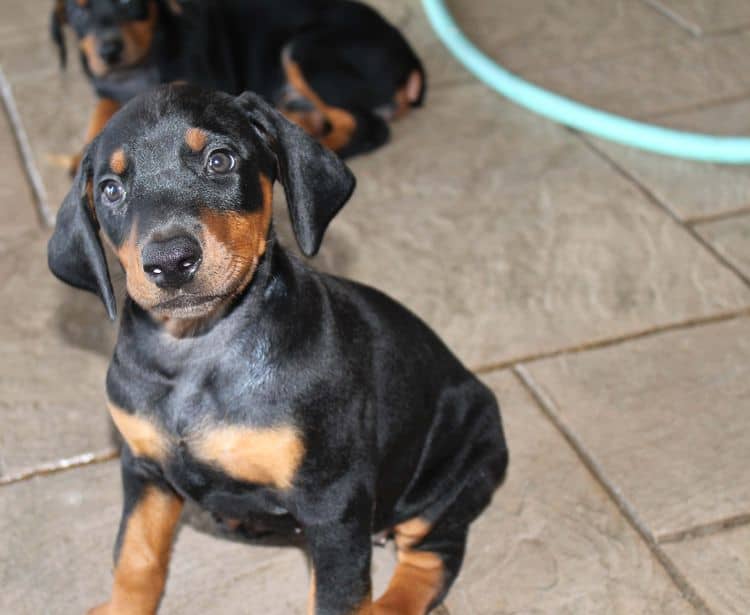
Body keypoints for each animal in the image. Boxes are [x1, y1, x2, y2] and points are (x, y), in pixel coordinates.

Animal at [47, 85, 506, 615]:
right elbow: (135, 556)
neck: (197, 349)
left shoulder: (332, 500)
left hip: (451, 475)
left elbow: (337, 596)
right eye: (110, 190)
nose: (170, 262)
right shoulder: (144, 468)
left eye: (220, 160)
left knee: (433, 558)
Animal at [52, 0, 426, 164]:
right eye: (79, 10)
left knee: (368, 128)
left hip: (306, 51)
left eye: (129, 2)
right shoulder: (105, 88)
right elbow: (104, 108)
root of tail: (409, 58)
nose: (109, 50)